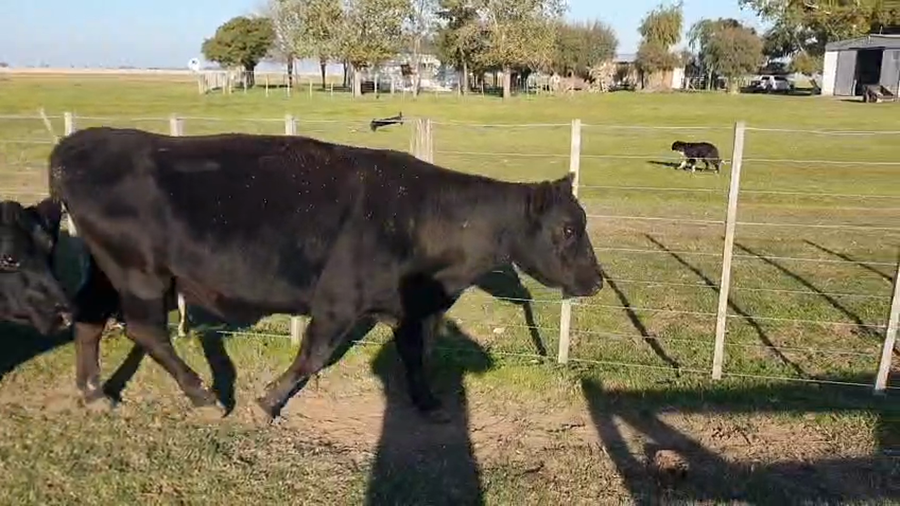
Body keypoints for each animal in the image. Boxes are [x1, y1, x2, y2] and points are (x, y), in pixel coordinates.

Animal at [48, 126, 604, 422]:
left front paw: (427, 403)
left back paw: (94, 395)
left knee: (89, 320)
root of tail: (80, 145)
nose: (597, 281)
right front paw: (267, 402)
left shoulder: (406, 307)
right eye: (568, 228)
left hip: (106, 269)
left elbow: (414, 358)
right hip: (140, 272)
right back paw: (204, 397)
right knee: (146, 331)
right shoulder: (338, 301)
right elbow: (311, 357)